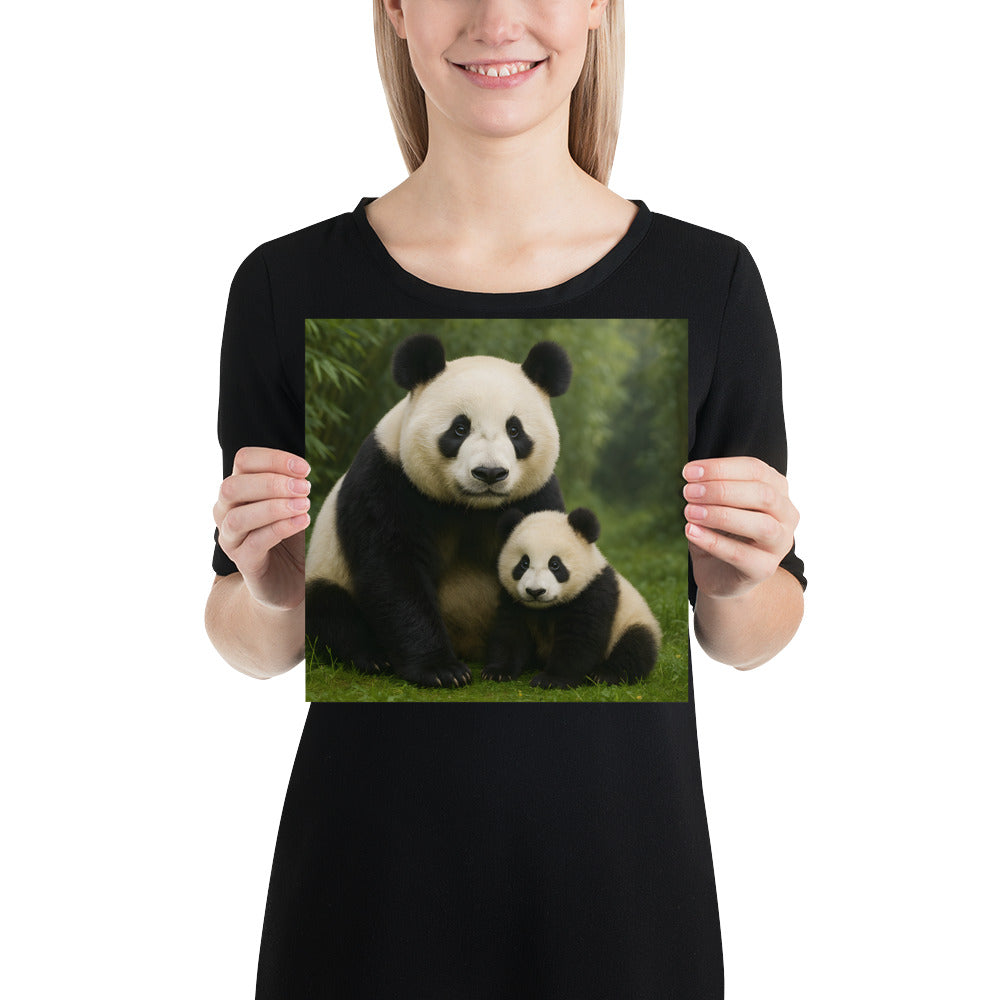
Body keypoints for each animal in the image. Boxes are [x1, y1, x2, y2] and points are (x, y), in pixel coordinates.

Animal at [305, 334, 572, 688]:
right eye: (459, 429)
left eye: (515, 430)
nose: (489, 473)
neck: (471, 506)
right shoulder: (388, 479)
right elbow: (393, 571)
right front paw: (442, 670)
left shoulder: (536, 494)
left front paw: (507, 664)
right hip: (327, 569)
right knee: (327, 609)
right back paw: (371, 657)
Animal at [484, 507, 662, 689]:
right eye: (524, 563)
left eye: (555, 564)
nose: (535, 591)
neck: (545, 608)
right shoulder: (513, 599)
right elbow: (510, 632)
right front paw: (497, 671)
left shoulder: (592, 593)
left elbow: (579, 638)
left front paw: (551, 679)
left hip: (631, 622)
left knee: (635, 647)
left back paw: (604, 675)